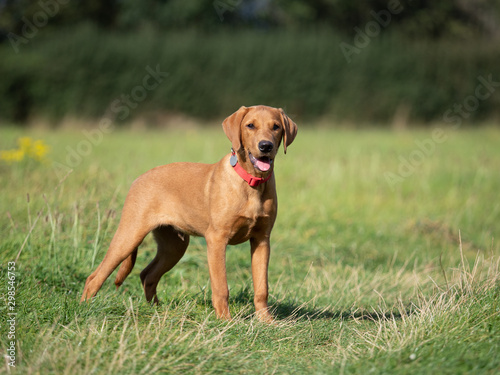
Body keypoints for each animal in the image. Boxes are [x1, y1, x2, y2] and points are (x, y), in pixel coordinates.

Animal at [79, 106, 294, 324]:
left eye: (276, 127)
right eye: (250, 125)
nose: (265, 146)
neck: (251, 182)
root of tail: (139, 178)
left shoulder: (261, 239)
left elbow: (261, 287)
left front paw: (266, 321)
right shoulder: (217, 239)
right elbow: (221, 286)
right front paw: (225, 320)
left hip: (174, 246)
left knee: (147, 275)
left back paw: (156, 310)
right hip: (129, 235)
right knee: (95, 277)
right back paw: (84, 309)